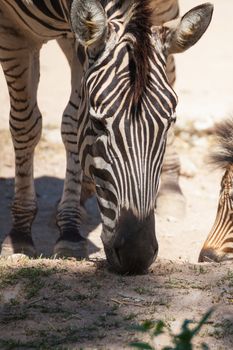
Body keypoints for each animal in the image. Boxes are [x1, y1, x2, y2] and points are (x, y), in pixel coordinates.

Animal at [0, 0, 214, 274]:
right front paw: (20, 235)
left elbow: (71, 125)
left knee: (172, 68)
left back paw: (168, 188)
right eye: (97, 123)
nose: (137, 255)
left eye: (170, 123)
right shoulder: (14, 31)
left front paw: (69, 233)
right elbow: (26, 126)